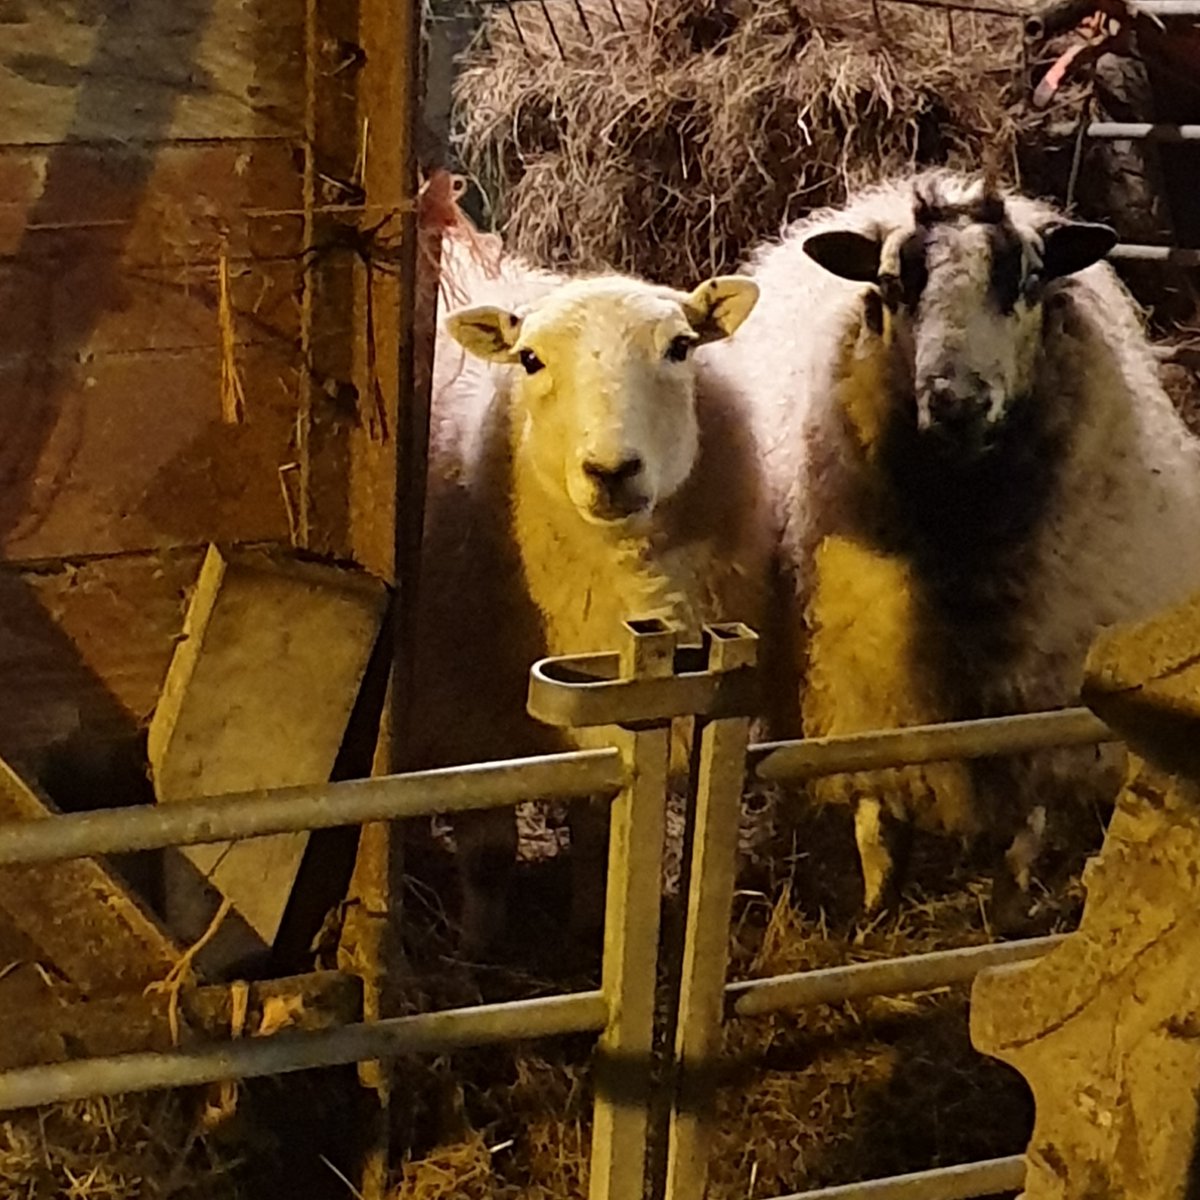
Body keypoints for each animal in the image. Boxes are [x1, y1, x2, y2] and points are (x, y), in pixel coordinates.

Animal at [410, 231, 777, 955]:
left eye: (681, 347)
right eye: (529, 359)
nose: (611, 471)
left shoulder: (615, 712)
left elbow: (599, 831)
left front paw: (589, 925)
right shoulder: (465, 714)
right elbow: (488, 854)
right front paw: (479, 947)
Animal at [729, 166, 1200, 916]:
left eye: (1027, 279)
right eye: (893, 285)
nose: (957, 404)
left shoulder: (1045, 689)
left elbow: (1028, 820)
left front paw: (1010, 903)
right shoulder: (863, 685)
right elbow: (878, 819)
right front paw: (877, 911)